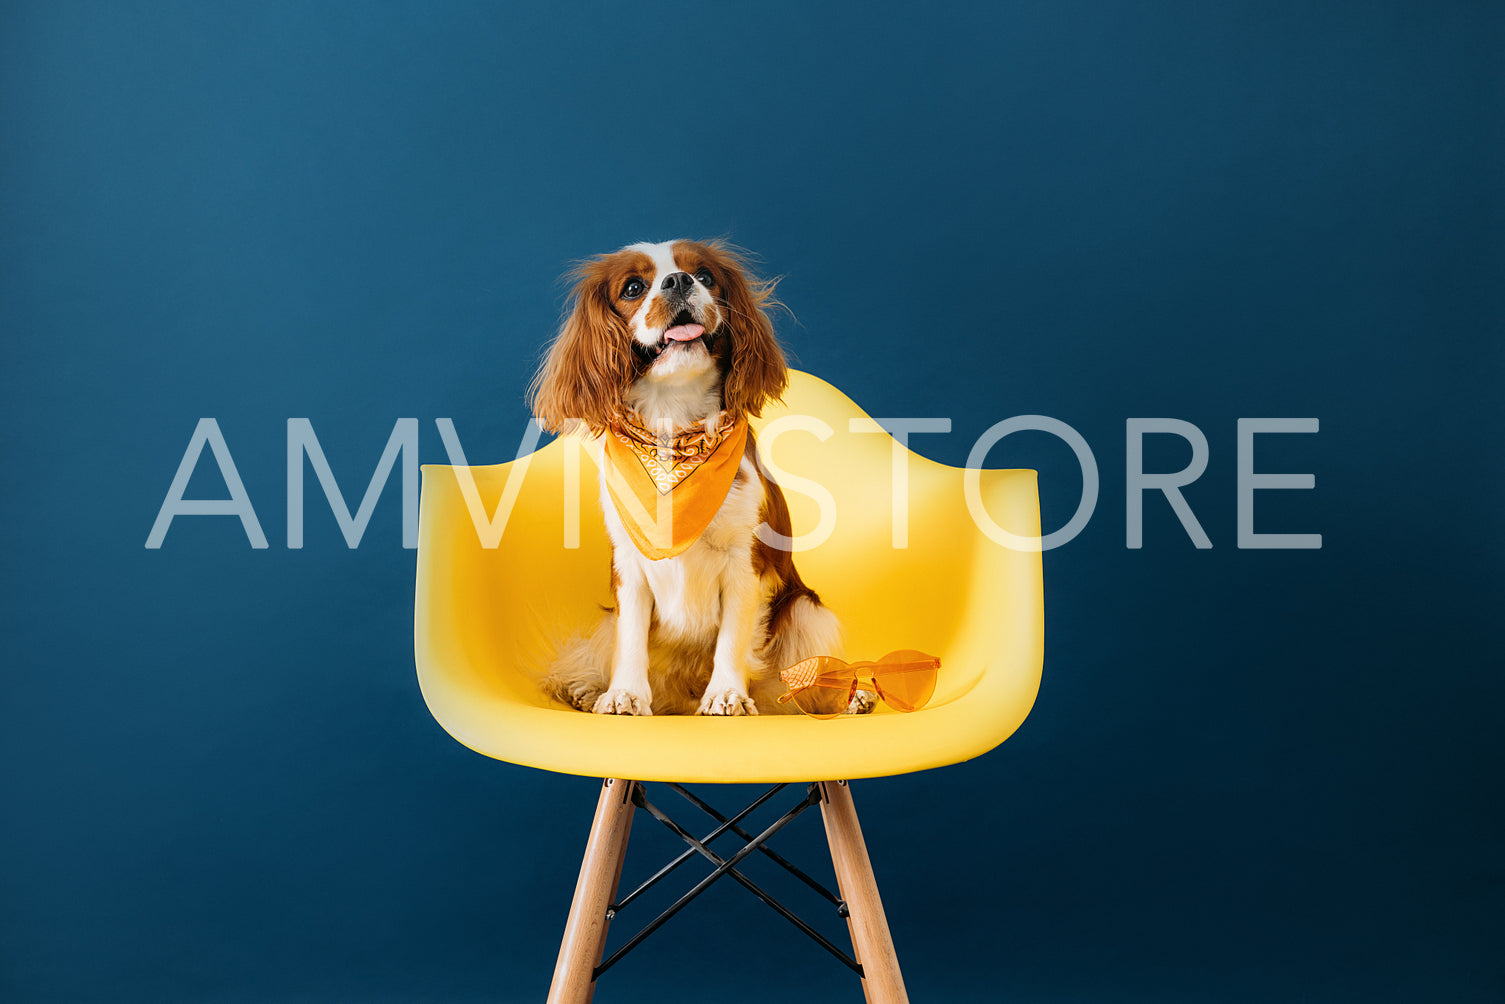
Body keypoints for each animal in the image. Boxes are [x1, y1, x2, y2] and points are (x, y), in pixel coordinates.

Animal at [529, 240, 848, 719]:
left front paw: (726, 694)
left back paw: (853, 699)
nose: (679, 281)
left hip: (807, 611)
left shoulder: (745, 563)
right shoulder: (629, 566)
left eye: (706, 276)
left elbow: (733, 638)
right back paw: (585, 688)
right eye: (633, 287)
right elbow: (630, 640)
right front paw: (623, 693)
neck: (673, 425)